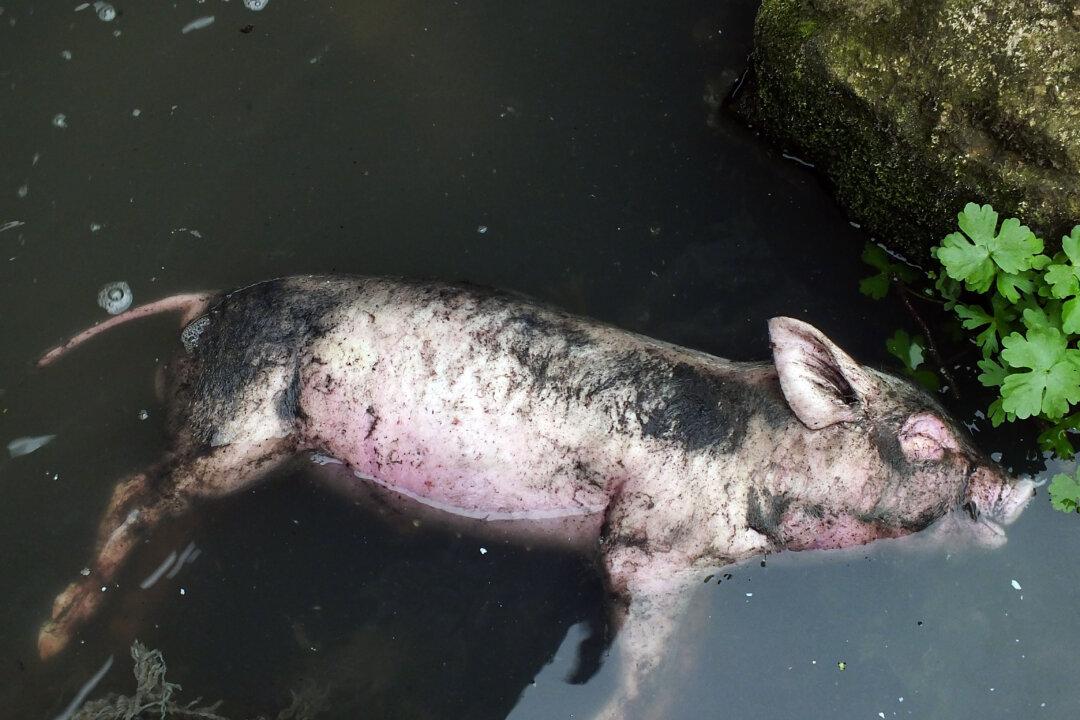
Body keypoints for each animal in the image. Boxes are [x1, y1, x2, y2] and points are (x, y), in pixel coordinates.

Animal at [35, 275, 1034, 718]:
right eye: (927, 440)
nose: (1018, 484)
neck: (763, 466)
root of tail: (202, 301)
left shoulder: (705, 568)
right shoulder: (646, 548)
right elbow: (641, 653)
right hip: (241, 430)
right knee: (132, 491)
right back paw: (51, 638)